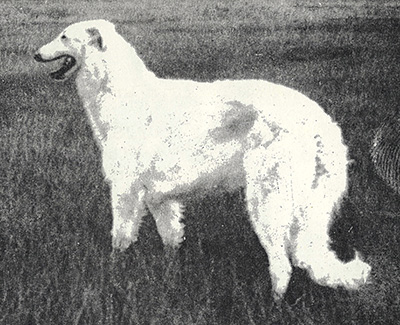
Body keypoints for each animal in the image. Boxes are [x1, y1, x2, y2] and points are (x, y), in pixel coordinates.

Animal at [36, 19, 370, 298]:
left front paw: (114, 271)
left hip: (269, 201)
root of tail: (320, 122)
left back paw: (273, 303)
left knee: (282, 266)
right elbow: (171, 239)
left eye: (64, 36)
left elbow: (121, 237)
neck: (122, 93)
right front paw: (169, 274)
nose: (35, 54)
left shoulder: (124, 189)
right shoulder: (160, 198)